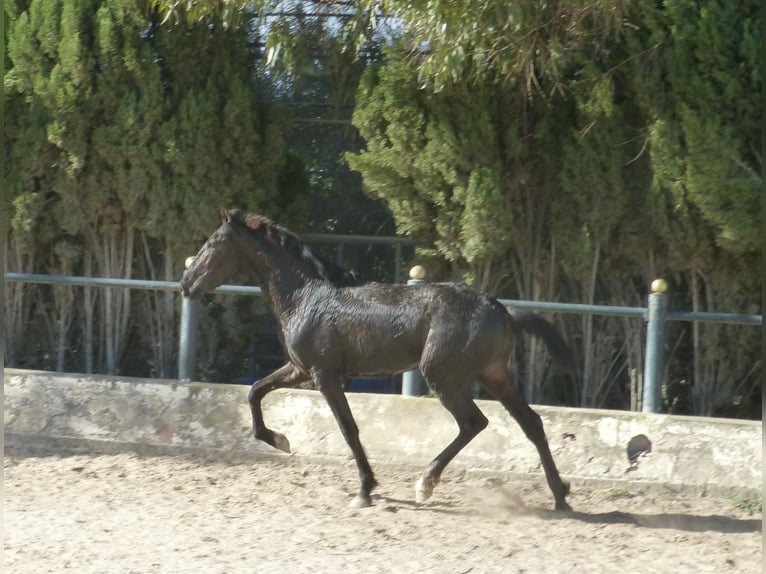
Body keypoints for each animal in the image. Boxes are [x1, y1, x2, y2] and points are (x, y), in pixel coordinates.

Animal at [180, 210, 576, 512]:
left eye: (212, 244)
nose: (186, 284)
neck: (305, 297)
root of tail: (502, 309)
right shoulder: (299, 369)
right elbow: (255, 392)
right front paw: (279, 440)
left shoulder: (325, 375)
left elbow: (348, 428)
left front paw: (365, 491)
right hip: (494, 375)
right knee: (531, 424)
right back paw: (560, 495)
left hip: (442, 375)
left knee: (473, 422)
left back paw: (426, 482)